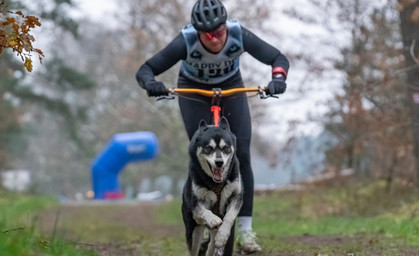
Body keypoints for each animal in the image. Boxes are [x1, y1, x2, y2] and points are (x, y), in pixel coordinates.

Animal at [182, 116, 244, 256]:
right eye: (208, 148)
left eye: (226, 148)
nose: (219, 162)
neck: (217, 183)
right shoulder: (196, 208)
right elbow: (205, 211)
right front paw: (213, 219)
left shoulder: (236, 197)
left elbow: (229, 216)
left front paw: (222, 236)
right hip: (193, 231)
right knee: (195, 247)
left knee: (211, 245)